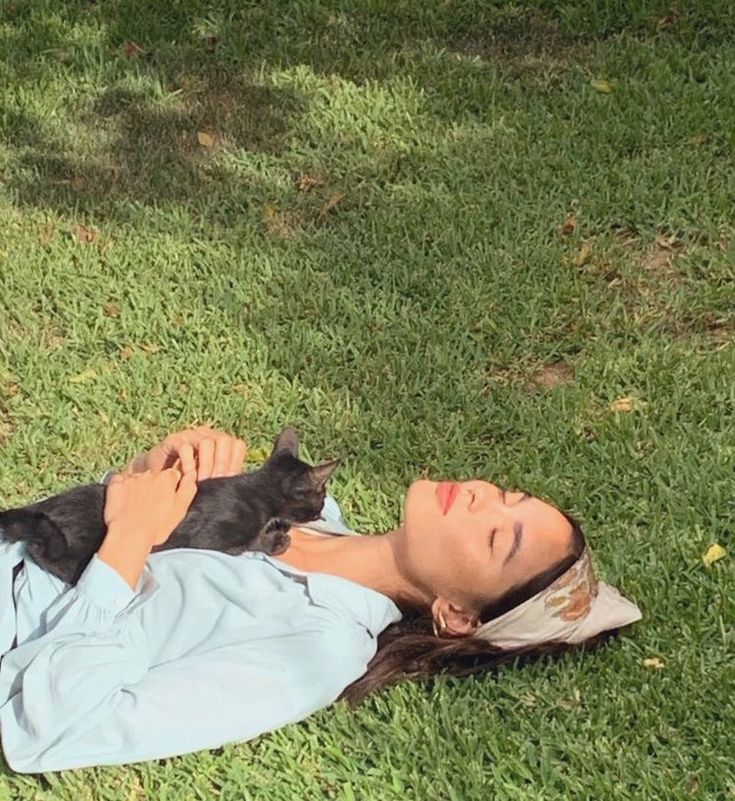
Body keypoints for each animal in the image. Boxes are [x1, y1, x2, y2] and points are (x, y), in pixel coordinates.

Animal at [0, 428, 340, 584]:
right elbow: (246, 543)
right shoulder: (211, 538)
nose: (323, 510)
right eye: (321, 498)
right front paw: (275, 540)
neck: (260, 492)